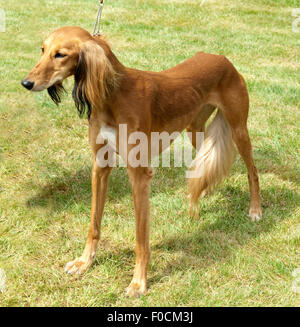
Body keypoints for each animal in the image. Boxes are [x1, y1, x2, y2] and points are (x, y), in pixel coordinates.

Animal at [21, 26, 262, 298]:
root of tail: (222, 58)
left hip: (238, 127)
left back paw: (255, 210)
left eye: (60, 54)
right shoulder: (100, 166)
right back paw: (199, 198)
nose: (26, 83)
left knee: (252, 170)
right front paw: (84, 262)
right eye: (42, 49)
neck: (112, 95)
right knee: (204, 161)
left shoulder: (139, 175)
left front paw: (138, 282)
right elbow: (93, 223)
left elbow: (140, 239)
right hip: (195, 129)